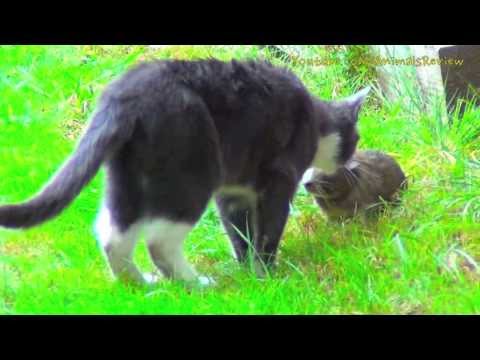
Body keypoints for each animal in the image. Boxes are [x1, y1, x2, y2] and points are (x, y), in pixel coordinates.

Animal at [0, 58, 368, 284]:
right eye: (357, 138)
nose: (351, 159)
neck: (315, 121)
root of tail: (123, 96)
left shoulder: (233, 192)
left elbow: (239, 232)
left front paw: (247, 271)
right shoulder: (279, 179)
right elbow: (267, 230)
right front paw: (266, 273)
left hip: (127, 176)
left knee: (112, 234)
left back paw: (141, 286)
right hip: (193, 173)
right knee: (159, 241)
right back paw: (197, 284)